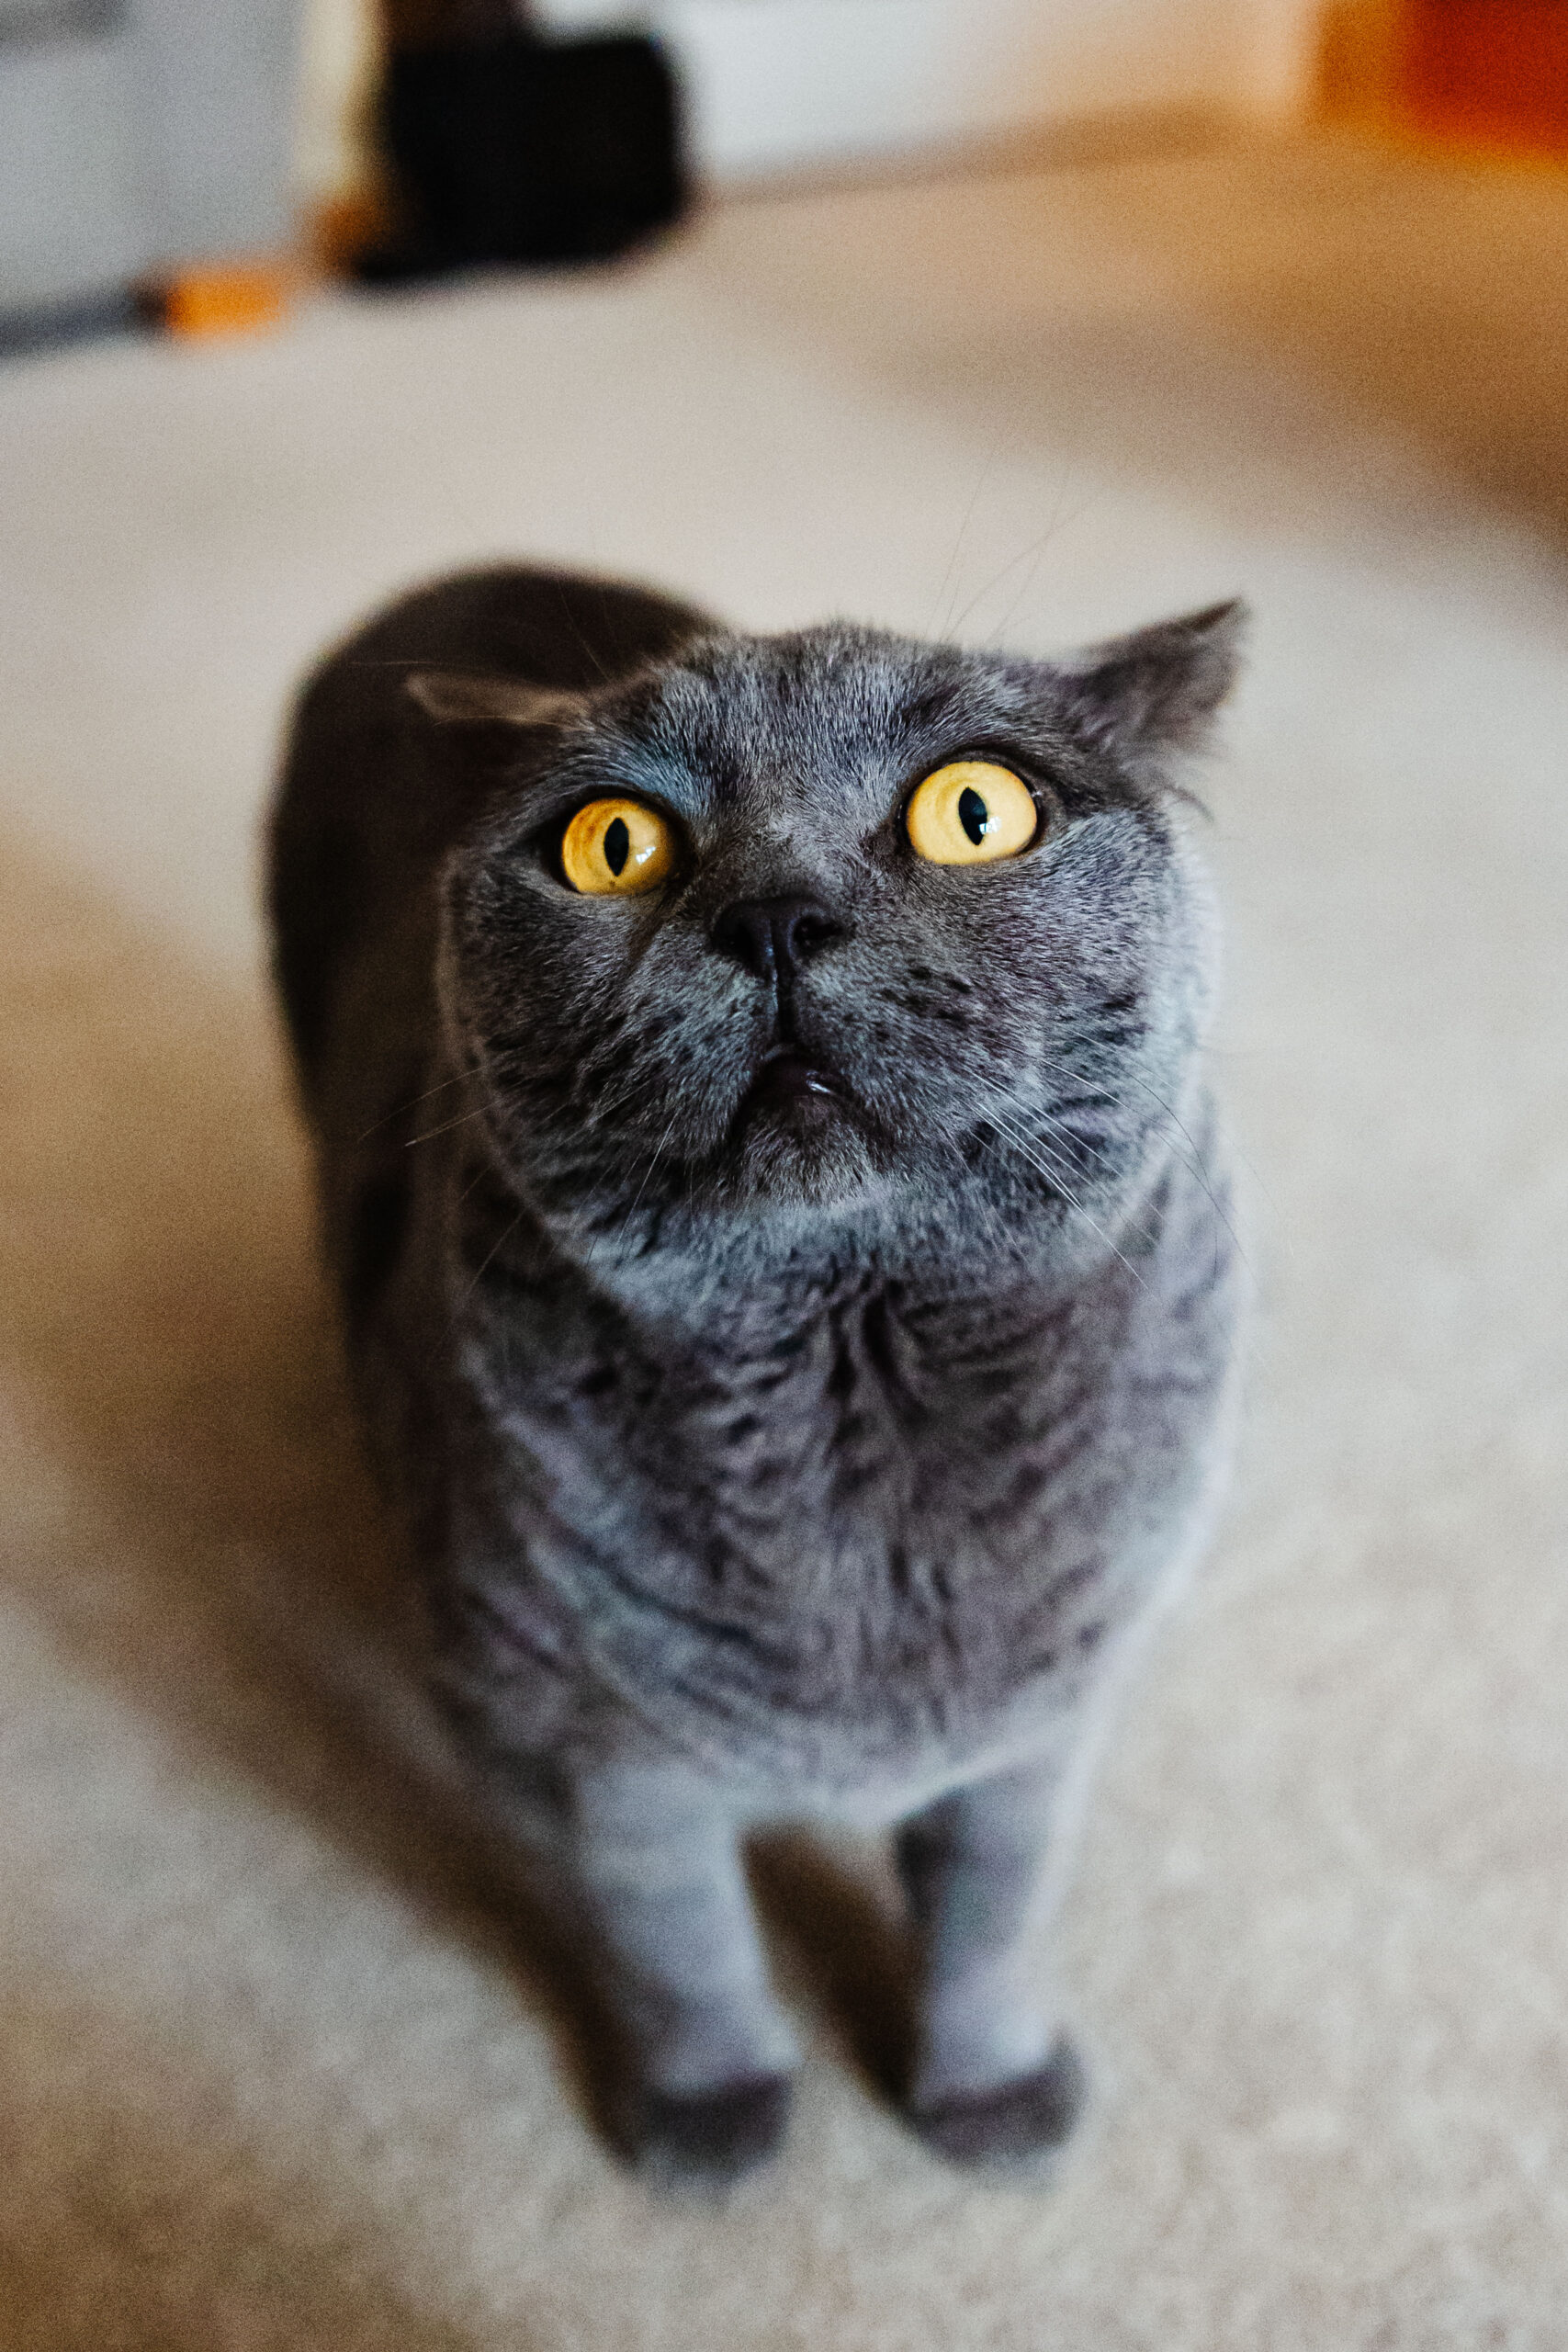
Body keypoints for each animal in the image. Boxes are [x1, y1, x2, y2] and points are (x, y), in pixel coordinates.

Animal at [272, 560, 1250, 2191]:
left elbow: (992, 1916)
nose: (775, 914)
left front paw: (986, 2094)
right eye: (610, 842)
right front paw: (710, 2117)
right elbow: (679, 1944)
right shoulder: (583, 1751)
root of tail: (457, 575)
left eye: (975, 808)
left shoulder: (1043, 1723)